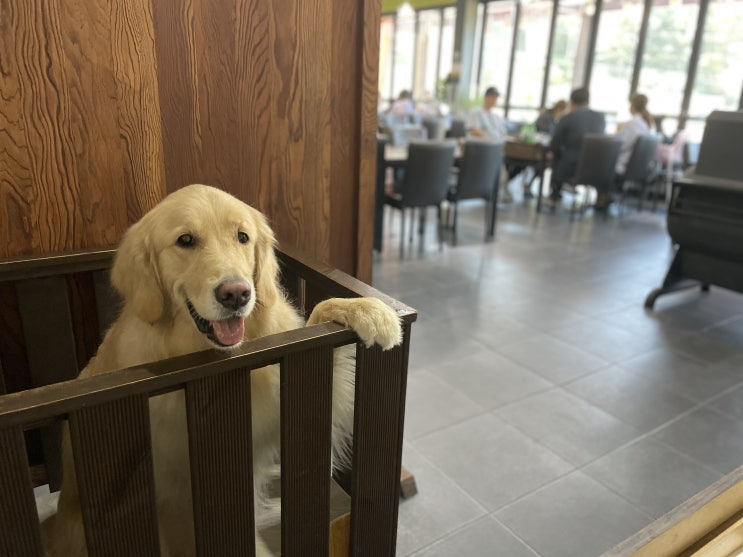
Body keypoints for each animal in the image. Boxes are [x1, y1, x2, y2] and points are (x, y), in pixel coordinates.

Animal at [42, 185, 402, 552]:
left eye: (242, 236)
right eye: (185, 240)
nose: (236, 294)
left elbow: (320, 316)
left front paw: (366, 309)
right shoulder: (174, 499)